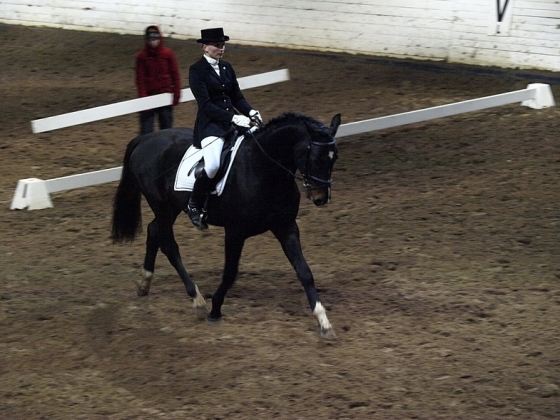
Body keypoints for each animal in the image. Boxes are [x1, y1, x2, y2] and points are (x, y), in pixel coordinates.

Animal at [111, 110, 340, 338]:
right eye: (316, 158)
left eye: (334, 158)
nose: (321, 198)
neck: (262, 168)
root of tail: (145, 139)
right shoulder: (235, 232)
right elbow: (230, 273)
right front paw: (215, 310)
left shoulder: (286, 227)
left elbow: (304, 272)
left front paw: (323, 321)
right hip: (162, 207)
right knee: (169, 245)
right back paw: (197, 301)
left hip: (170, 208)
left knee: (153, 231)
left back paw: (144, 283)